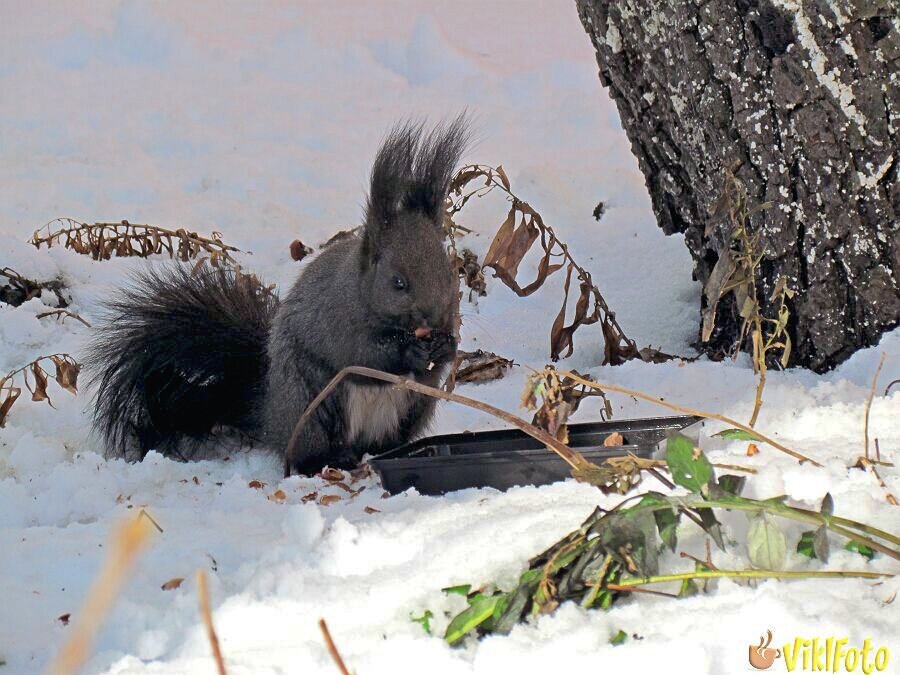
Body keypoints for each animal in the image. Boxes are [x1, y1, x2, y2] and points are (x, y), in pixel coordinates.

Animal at [89, 116, 472, 476]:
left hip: (414, 408)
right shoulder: (336, 319)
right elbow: (361, 355)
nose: (434, 318)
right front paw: (410, 350)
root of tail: (270, 414)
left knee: (384, 439)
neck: (362, 293)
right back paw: (330, 459)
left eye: (450, 274)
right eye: (398, 283)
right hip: (311, 403)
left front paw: (445, 347)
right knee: (309, 450)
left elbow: (431, 371)